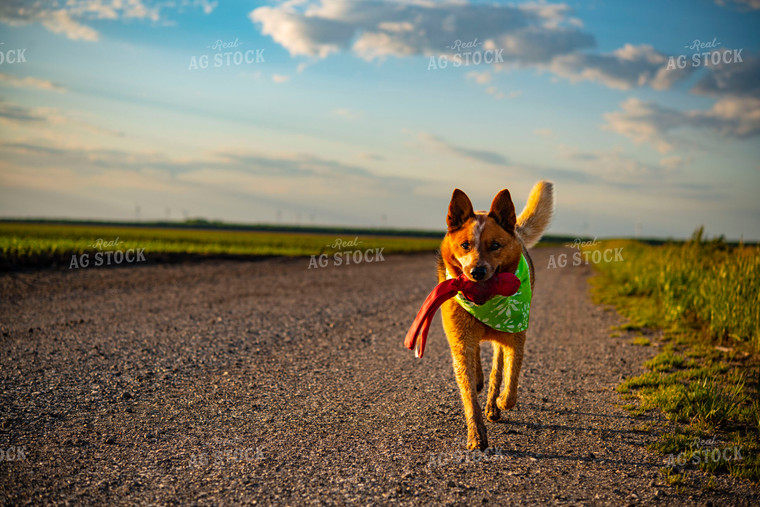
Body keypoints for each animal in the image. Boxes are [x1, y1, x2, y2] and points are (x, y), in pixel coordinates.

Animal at [440, 181, 552, 450]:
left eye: (495, 245)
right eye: (465, 245)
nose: (477, 272)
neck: (485, 303)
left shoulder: (515, 338)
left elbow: (510, 384)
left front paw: (500, 402)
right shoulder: (460, 342)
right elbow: (469, 393)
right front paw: (476, 435)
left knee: (497, 370)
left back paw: (493, 404)